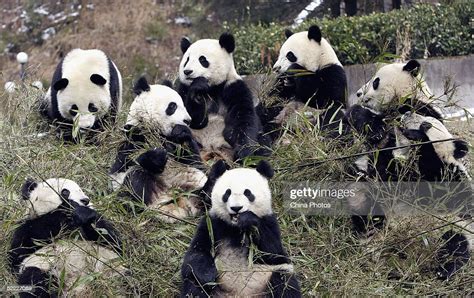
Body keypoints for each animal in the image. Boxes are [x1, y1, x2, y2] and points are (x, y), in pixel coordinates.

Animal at [111, 76, 207, 221]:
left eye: (183, 105)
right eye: (172, 106)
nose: (188, 120)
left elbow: (195, 159)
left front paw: (181, 131)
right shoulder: (133, 137)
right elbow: (121, 166)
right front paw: (156, 156)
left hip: (195, 185)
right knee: (136, 177)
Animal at [177, 32, 270, 162]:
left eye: (202, 59)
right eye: (187, 60)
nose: (187, 71)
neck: (213, 88)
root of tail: (211, 151)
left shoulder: (233, 88)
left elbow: (242, 117)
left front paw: (243, 152)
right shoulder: (183, 89)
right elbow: (192, 119)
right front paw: (197, 92)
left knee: (263, 144)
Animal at [180, 161, 302, 298]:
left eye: (248, 193)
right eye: (227, 193)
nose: (236, 208)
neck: (235, 228)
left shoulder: (269, 221)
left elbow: (273, 251)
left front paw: (248, 219)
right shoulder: (212, 223)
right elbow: (197, 252)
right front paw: (208, 276)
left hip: (271, 276)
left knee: (285, 283)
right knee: (194, 285)